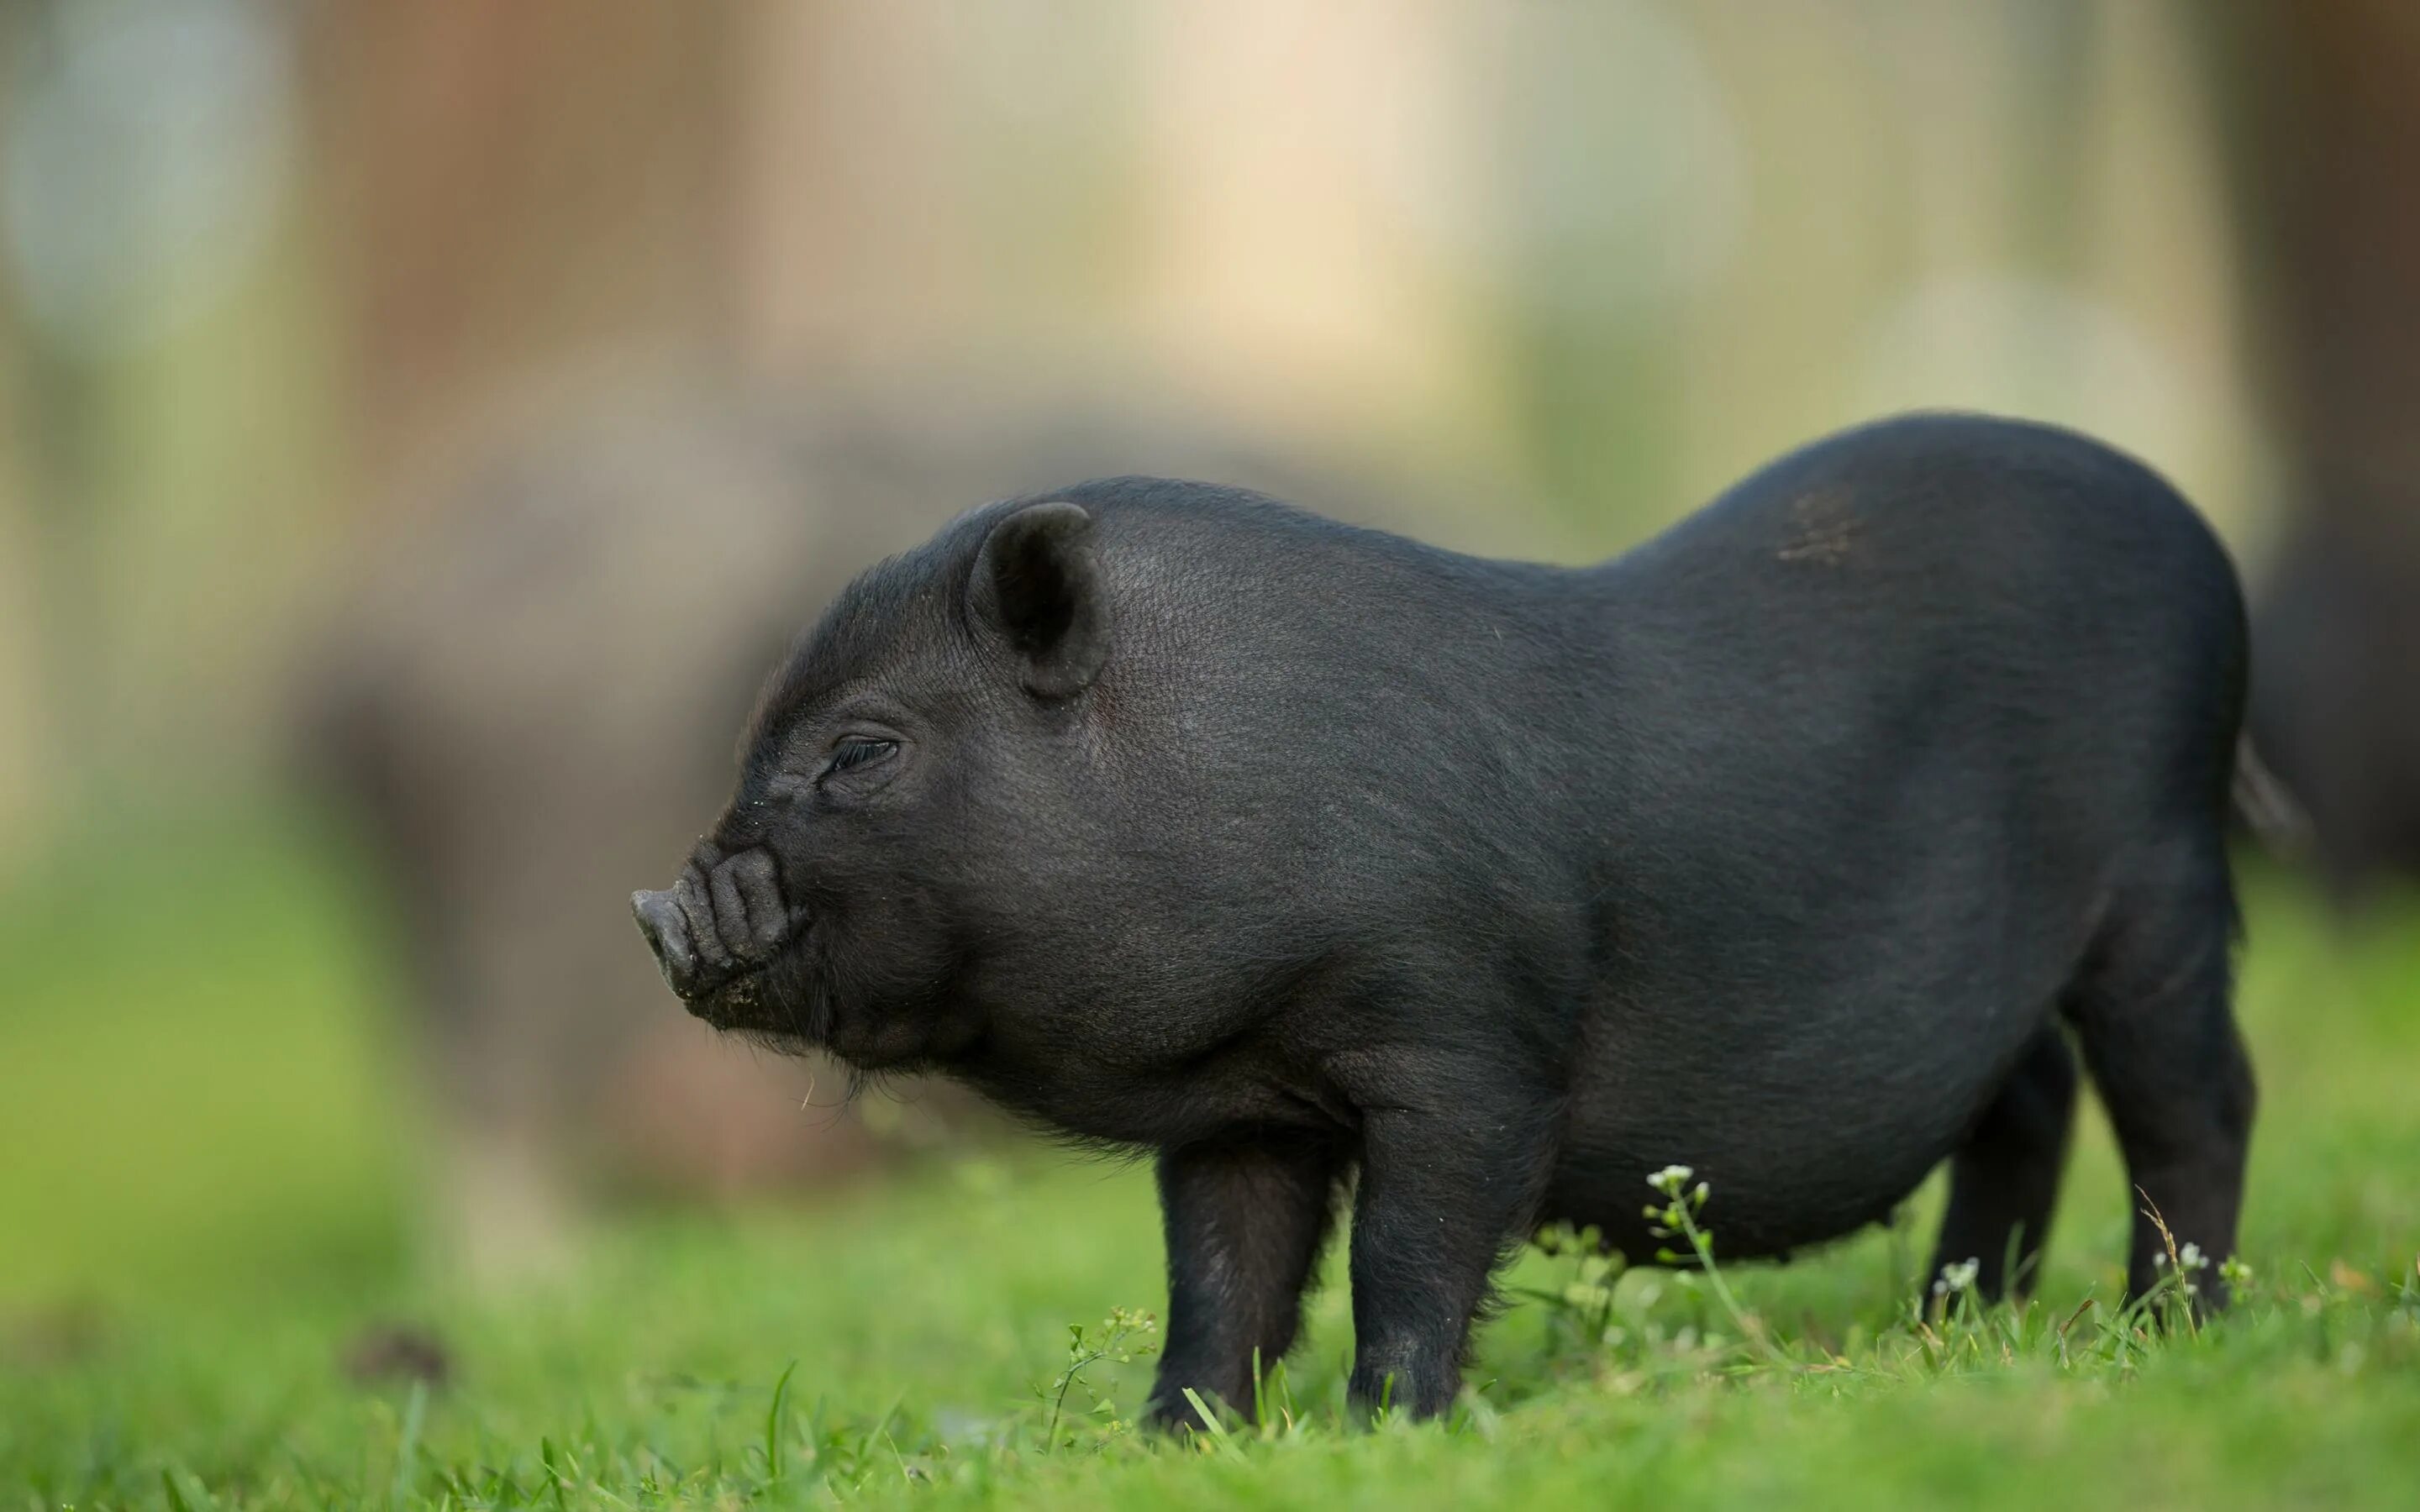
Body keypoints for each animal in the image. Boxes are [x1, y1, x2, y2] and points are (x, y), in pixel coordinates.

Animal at [634, 416, 2255, 1422]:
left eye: (863, 752)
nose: (663, 905)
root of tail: (2205, 539)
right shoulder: (1244, 1105)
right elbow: (1220, 1279)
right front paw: (1176, 1440)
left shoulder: (1463, 1035)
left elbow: (1410, 1255)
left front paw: (1387, 1431)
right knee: (2028, 1095)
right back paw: (1951, 1332)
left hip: (2165, 871)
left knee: (2197, 1096)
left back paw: (2172, 1333)